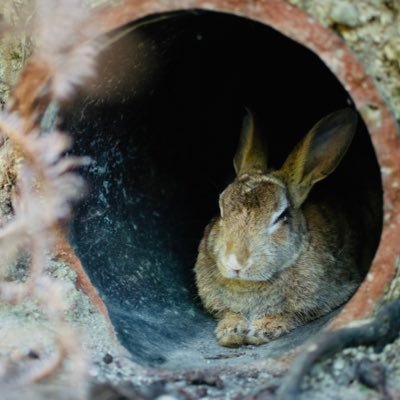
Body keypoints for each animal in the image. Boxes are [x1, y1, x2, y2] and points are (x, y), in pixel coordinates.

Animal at [195, 107, 364, 346]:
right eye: (221, 208)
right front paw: (230, 332)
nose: (235, 262)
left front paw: (263, 331)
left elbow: (288, 315)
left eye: (282, 216)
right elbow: (230, 313)